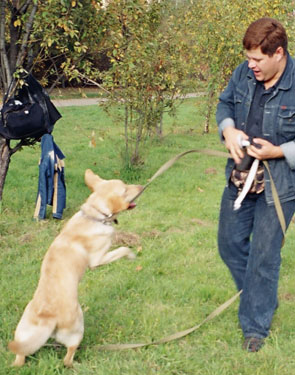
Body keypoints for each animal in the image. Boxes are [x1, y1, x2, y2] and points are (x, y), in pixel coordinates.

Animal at [8, 170, 143, 368]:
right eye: (125, 189)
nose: (142, 186)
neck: (95, 215)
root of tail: (49, 318)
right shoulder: (98, 259)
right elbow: (122, 249)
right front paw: (132, 255)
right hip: (77, 328)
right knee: (67, 357)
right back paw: (76, 364)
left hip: (24, 332)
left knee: (20, 356)